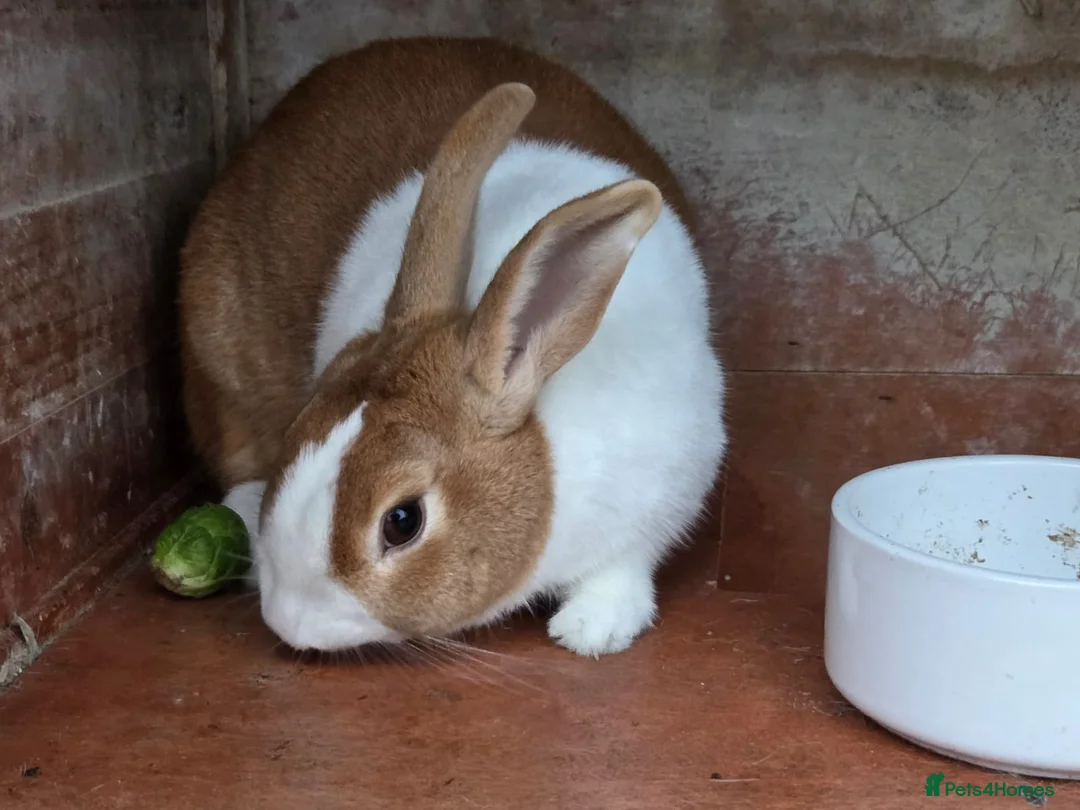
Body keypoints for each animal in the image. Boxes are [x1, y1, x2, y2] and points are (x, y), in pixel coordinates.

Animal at [178, 37, 727, 657]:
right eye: (297, 434)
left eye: (403, 521)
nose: (289, 622)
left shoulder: (663, 493)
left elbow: (622, 569)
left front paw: (591, 631)